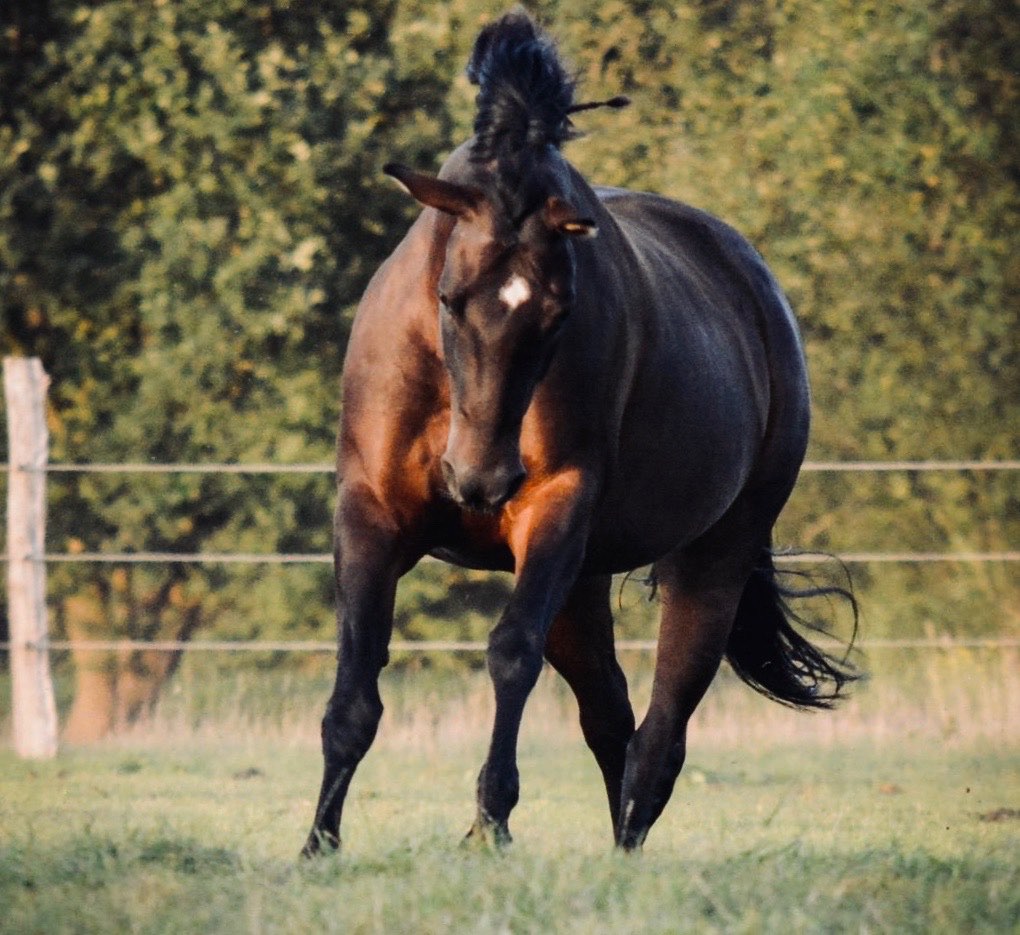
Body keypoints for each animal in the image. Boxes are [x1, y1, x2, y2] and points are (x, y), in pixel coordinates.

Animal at [303, 11, 856, 856]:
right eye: (449, 296)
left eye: (560, 310)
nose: (481, 480)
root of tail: (760, 294)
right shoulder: (370, 514)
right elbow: (355, 687)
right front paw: (318, 843)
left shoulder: (554, 510)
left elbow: (509, 654)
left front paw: (490, 824)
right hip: (584, 581)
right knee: (610, 714)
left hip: (709, 559)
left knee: (659, 732)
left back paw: (624, 851)